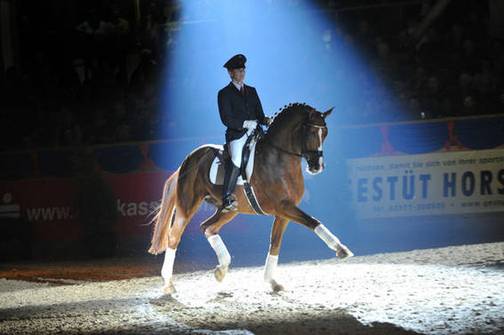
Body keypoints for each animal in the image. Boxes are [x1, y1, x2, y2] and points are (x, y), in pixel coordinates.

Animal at [148, 101, 354, 294]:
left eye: (325, 133)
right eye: (311, 131)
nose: (317, 166)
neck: (278, 158)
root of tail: (188, 159)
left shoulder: (283, 212)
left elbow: (275, 244)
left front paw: (272, 281)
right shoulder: (283, 207)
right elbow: (313, 221)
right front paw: (340, 248)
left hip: (230, 209)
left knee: (207, 227)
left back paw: (221, 269)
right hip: (188, 204)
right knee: (174, 237)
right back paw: (169, 284)